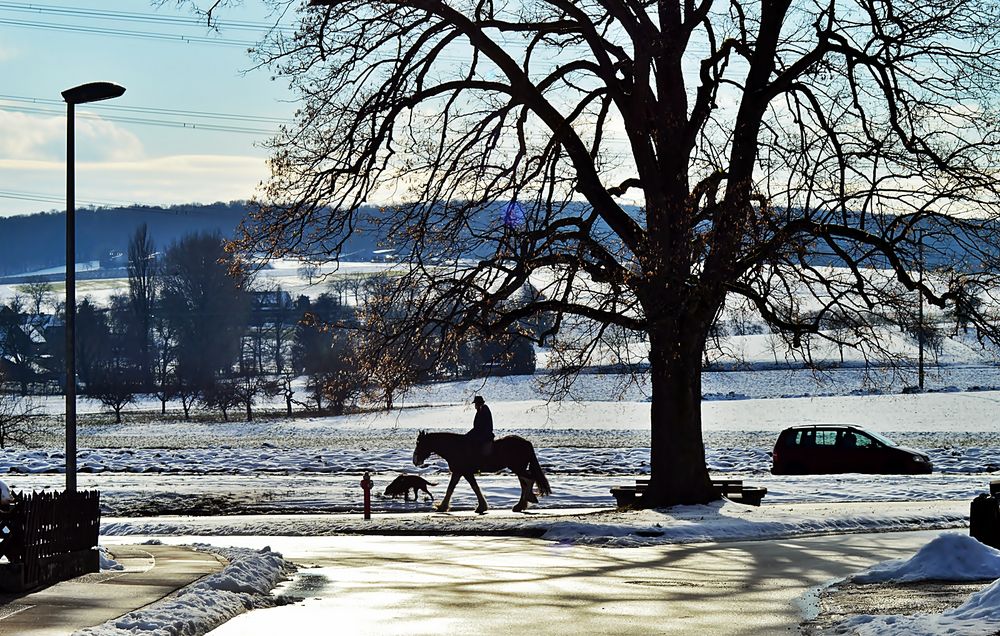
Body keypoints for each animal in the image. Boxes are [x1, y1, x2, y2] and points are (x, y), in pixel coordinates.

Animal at [414, 430, 556, 516]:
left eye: (419, 444)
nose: (415, 461)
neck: (456, 447)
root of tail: (526, 442)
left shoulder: (464, 472)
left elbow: (470, 487)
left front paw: (481, 507)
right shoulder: (459, 472)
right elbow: (453, 488)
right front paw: (443, 506)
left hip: (517, 468)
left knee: (529, 480)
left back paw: (526, 500)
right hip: (518, 469)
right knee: (525, 483)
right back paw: (521, 504)